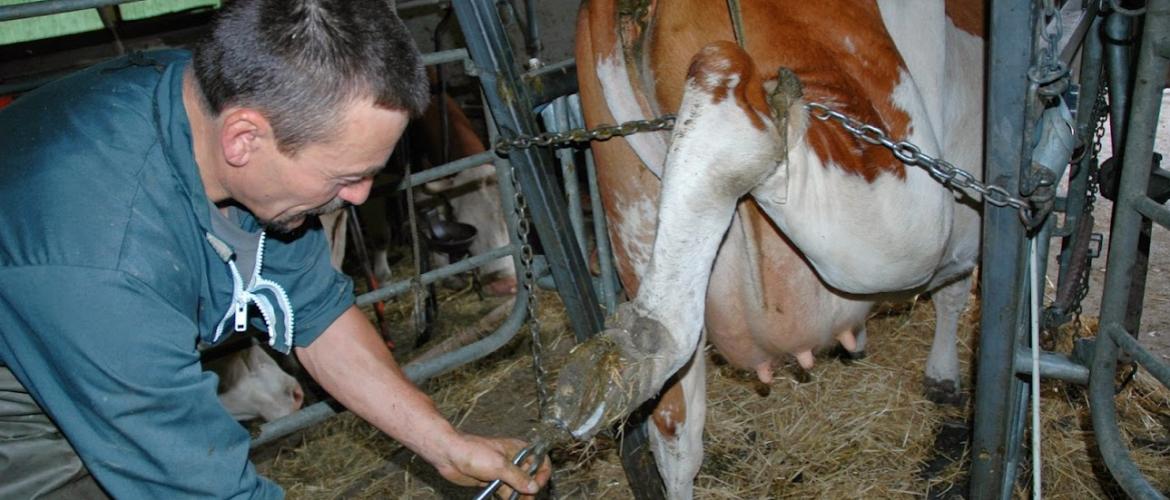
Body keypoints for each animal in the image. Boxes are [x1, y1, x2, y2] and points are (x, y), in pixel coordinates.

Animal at [549, 0, 987, 496]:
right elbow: (954, 293)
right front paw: (943, 375)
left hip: (630, 195)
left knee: (676, 432)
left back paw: (632, 354)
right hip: (907, 195)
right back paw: (725, 72)